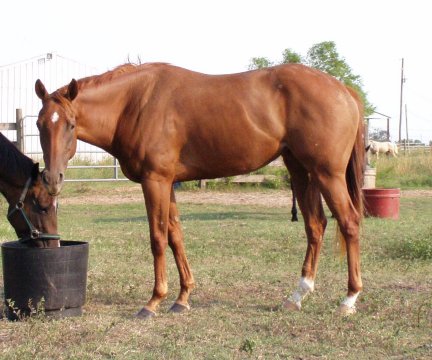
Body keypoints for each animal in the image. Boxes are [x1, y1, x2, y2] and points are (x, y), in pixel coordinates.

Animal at [35, 63, 364, 316]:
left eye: (71, 124)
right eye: (39, 124)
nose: (52, 179)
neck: (135, 103)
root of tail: (343, 89)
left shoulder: (155, 181)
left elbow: (158, 238)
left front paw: (154, 301)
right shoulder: (167, 183)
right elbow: (176, 236)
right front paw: (182, 298)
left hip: (327, 174)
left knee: (349, 223)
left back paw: (348, 300)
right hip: (301, 171)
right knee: (316, 225)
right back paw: (297, 296)